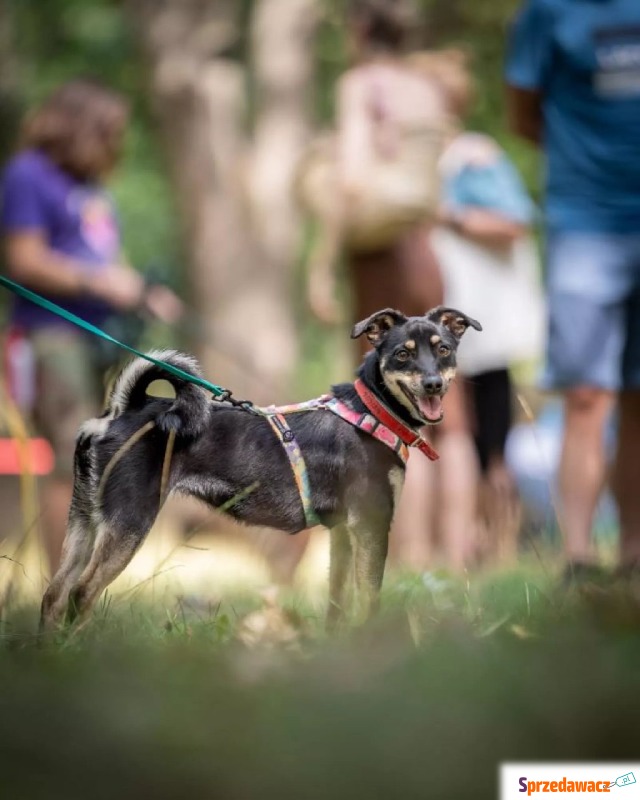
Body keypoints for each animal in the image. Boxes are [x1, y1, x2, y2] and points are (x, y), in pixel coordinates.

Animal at [40, 306, 480, 632]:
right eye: (403, 354)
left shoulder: (343, 533)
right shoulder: (371, 524)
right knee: (81, 593)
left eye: (443, 349)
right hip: (129, 522)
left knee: (54, 594)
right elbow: (369, 598)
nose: (433, 384)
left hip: (85, 521)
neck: (370, 411)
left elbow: (337, 603)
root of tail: (120, 412)